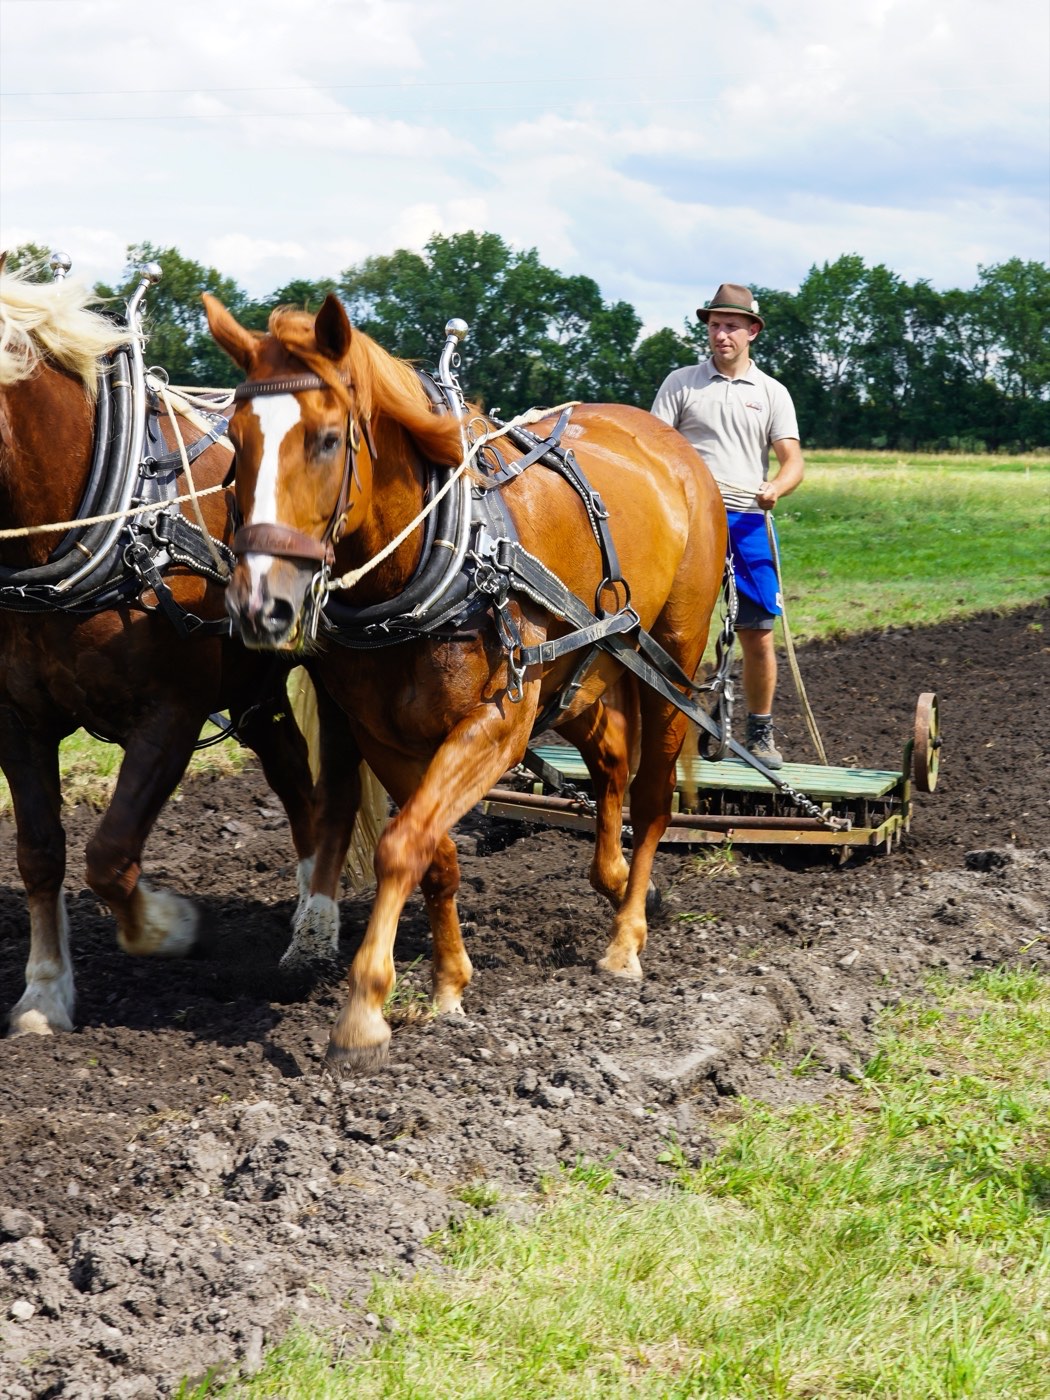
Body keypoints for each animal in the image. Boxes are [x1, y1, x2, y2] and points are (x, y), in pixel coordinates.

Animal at [0, 260, 328, 1037]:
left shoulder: (173, 714)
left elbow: (110, 854)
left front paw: (173, 926)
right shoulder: (18, 718)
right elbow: (40, 853)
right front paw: (45, 993)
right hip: (257, 692)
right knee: (296, 778)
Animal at [203, 291, 728, 1071]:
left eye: (326, 440)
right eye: (236, 445)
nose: (258, 605)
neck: (435, 558)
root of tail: (670, 442)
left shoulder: (498, 723)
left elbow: (400, 844)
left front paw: (363, 1011)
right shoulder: (385, 735)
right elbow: (433, 851)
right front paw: (448, 985)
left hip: (672, 657)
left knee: (654, 793)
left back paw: (626, 936)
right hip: (578, 665)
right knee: (609, 757)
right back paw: (608, 877)